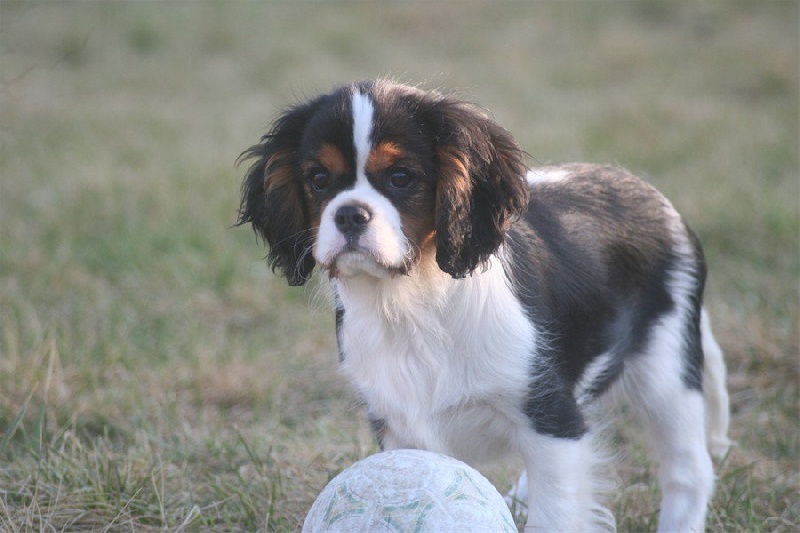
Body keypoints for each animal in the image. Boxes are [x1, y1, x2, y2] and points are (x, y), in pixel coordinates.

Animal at [238, 78, 732, 528]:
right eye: (319, 179)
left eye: (401, 178)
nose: (348, 214)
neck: (409, 299)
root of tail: (655, 198)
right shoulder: (399, 426)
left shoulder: (552, 421)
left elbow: (555, 515)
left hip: (666, 368)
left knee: (690, 472)